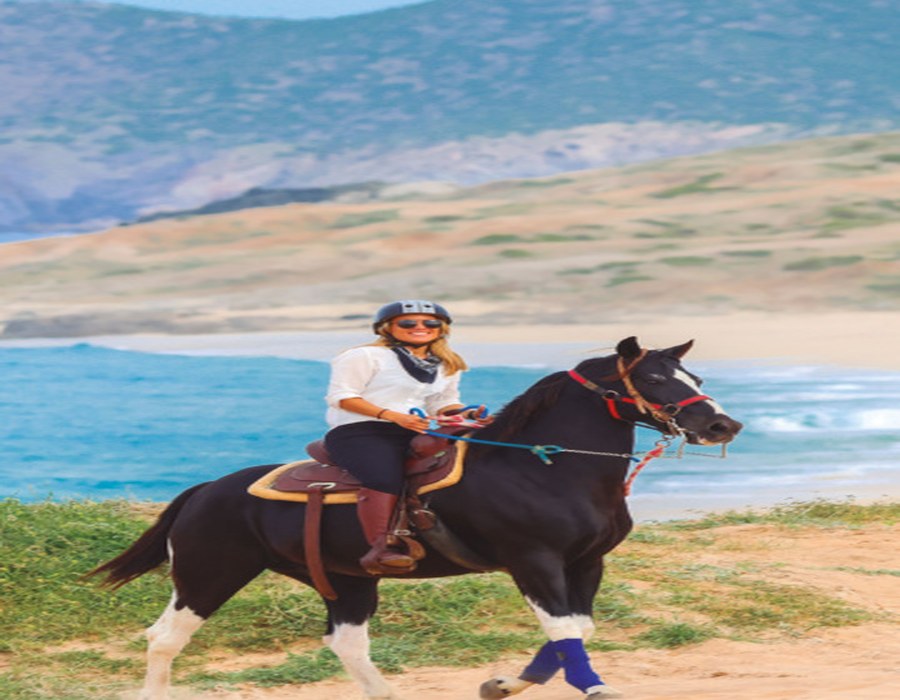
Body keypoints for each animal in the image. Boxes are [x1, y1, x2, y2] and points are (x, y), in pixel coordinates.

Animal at [90, 336, 742, 700]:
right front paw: (596, 688)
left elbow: (574, 634)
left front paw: (499, 685)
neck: (547, 466)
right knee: (165, 640)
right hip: (209, 574)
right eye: (653, 378)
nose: (722, 425)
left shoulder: (586, 563)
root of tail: (205, 491)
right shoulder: (534, 562)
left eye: (694, 377)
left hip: (347, 579)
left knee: (346, 643)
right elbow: (564, 635)